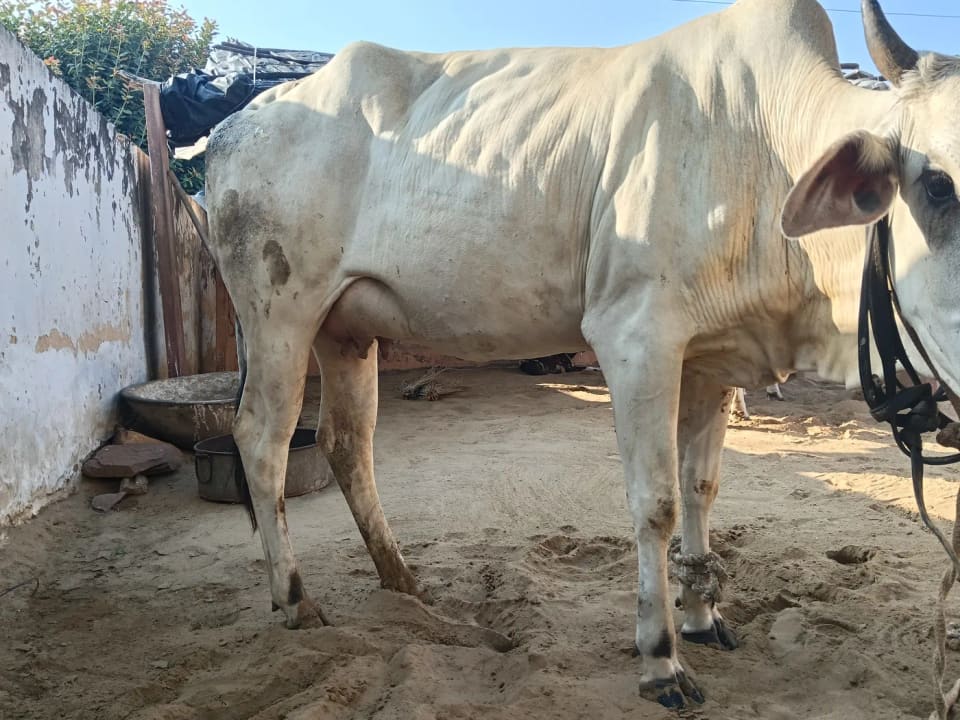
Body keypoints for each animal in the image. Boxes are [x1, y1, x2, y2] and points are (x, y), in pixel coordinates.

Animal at [204, 0, 960, 708]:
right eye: (937, 184)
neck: (763, 148)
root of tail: (236, 123)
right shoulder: (635, 336)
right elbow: (657, 502)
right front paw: (660, 659)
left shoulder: (711, 356)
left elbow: (701, 488)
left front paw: (701, 617)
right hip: (279, 316)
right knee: (263, 439)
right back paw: (295, 598)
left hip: (345, 331)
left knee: (346, 442)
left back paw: (402, 581)